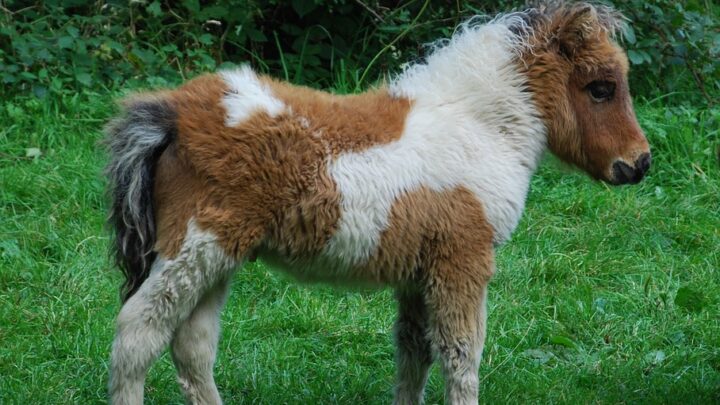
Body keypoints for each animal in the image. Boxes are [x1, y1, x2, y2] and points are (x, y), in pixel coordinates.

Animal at [105, 1, 652, 402]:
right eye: (601, 88)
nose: (639, 163)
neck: (478, 125)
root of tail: (173, 114)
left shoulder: (418, 273)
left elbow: (415, 354)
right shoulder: (462, 261)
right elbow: (461, 356)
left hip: (219, 258)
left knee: (192, 347)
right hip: (196, 246)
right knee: (137, 336)